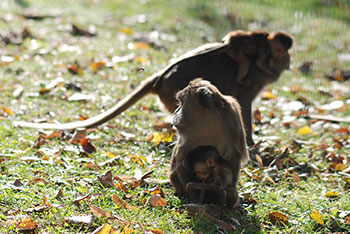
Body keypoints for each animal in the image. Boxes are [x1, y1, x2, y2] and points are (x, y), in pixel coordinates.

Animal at [13, 29, 292, 145]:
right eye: (283, 53)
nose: (289, 62)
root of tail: (161, 77)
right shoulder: (254, 78)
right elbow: (244, 103)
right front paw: (251, 140)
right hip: (173, 93)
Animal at [168, 79, 247, 208]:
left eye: (181, 103)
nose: (175, 112)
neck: (207, 121)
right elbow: (182, 161)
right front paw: (198, 197)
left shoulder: (233, 120)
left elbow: (233, 158)